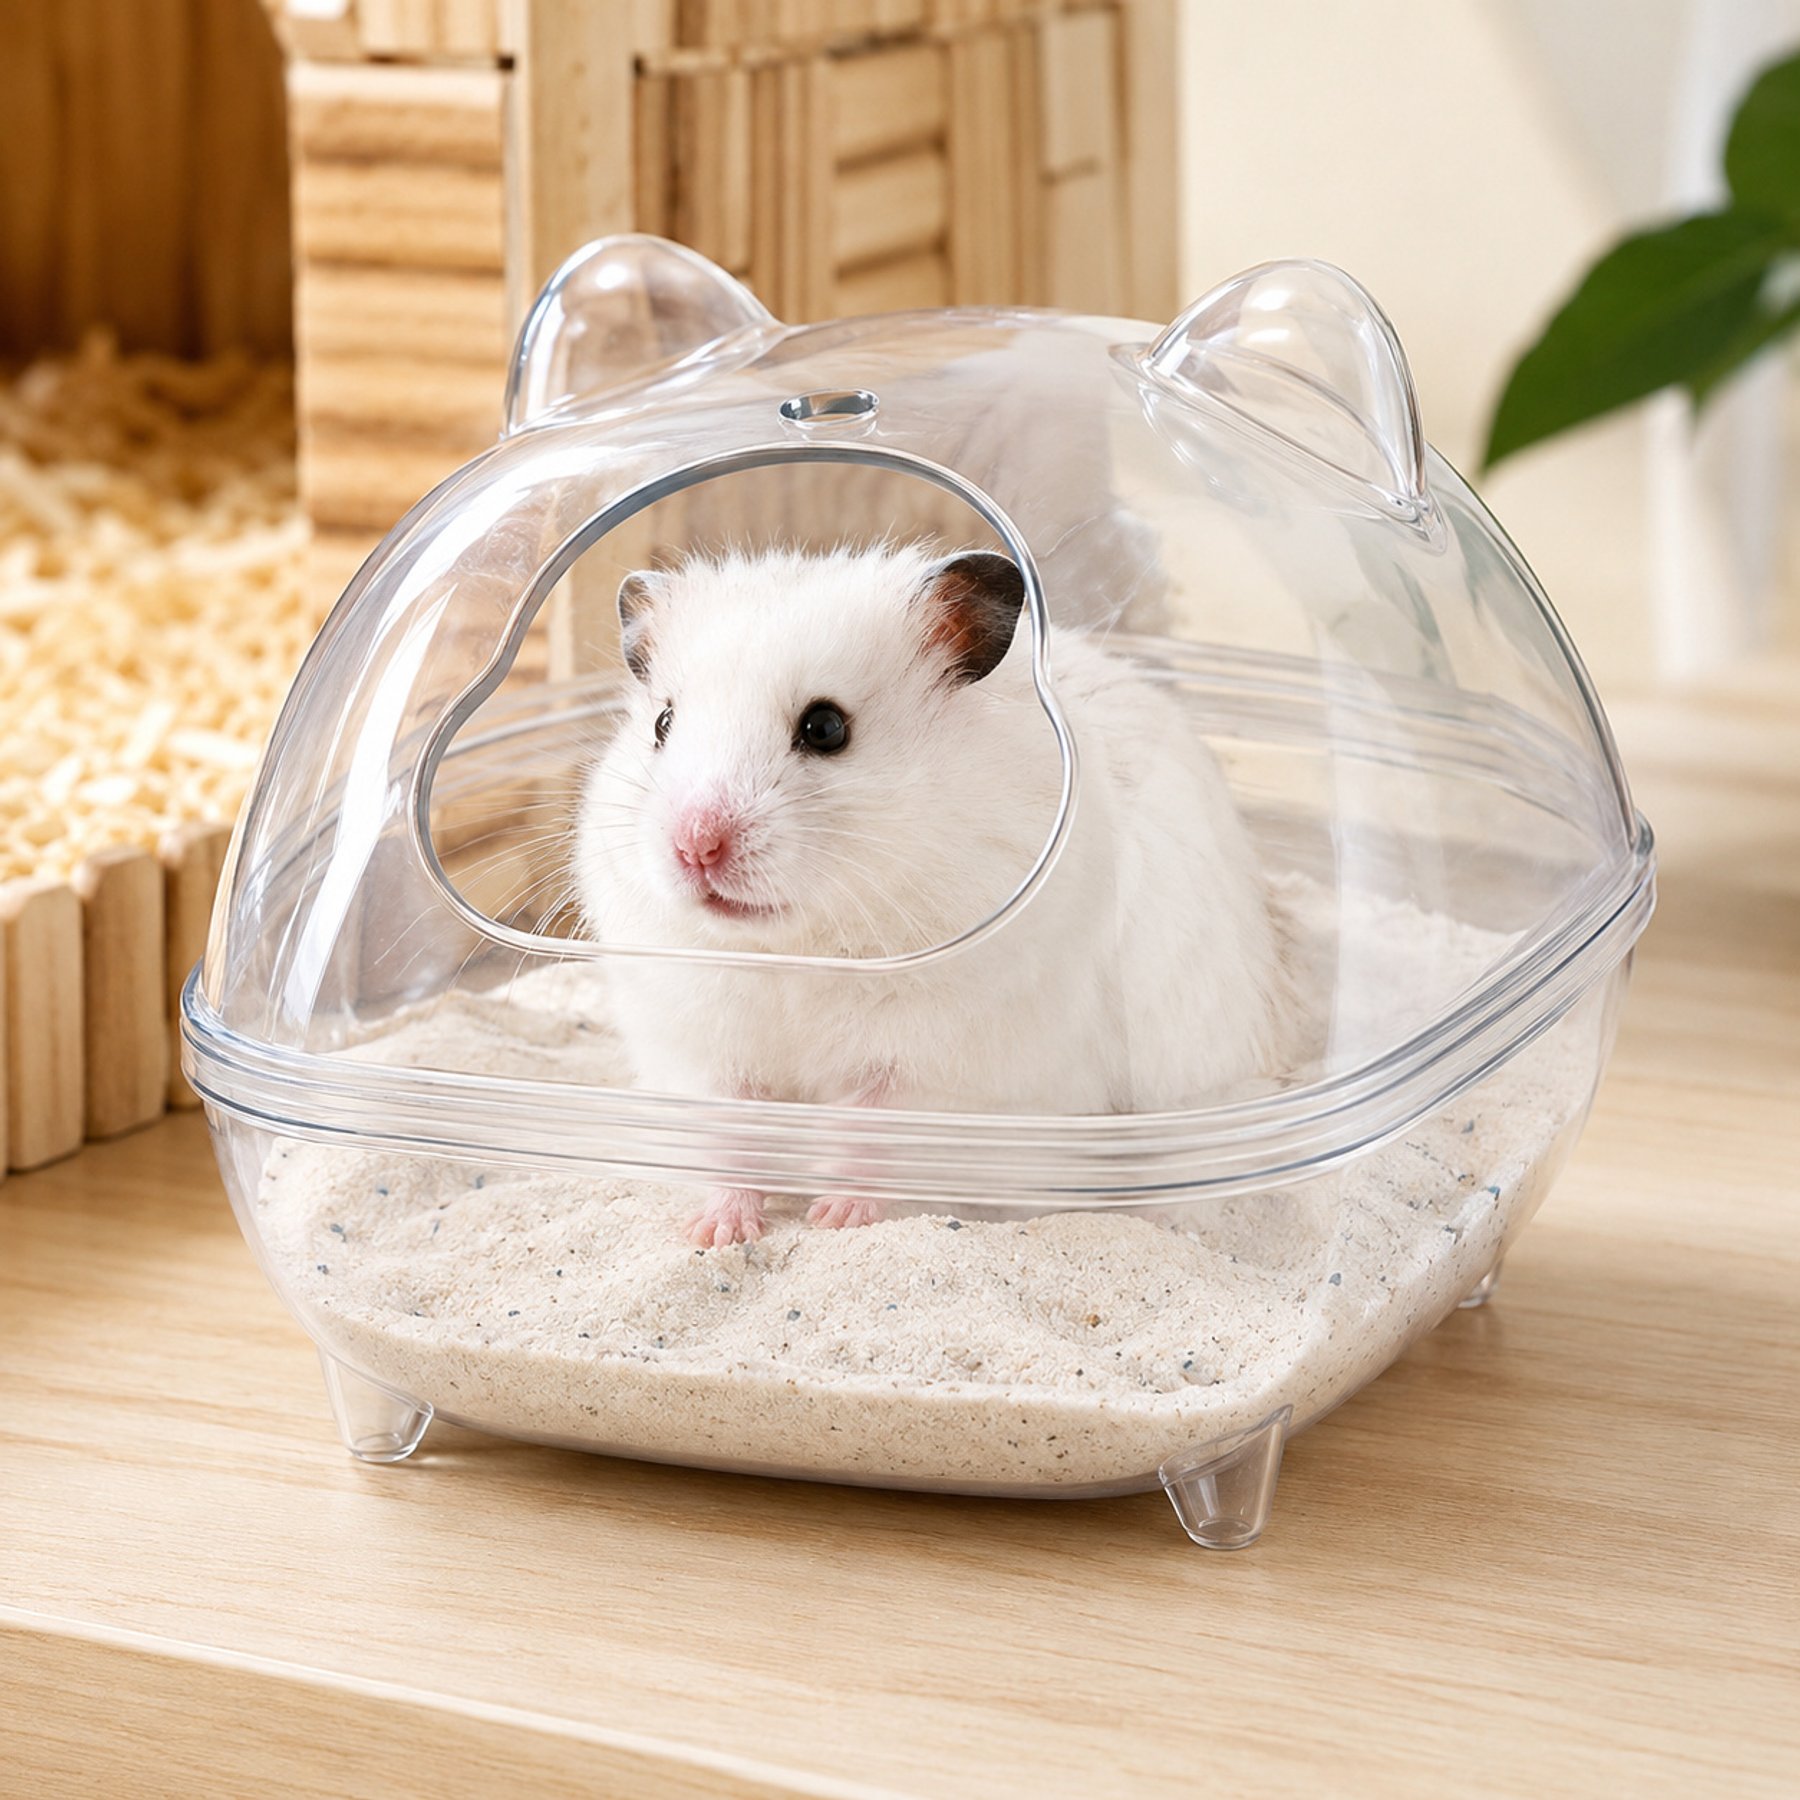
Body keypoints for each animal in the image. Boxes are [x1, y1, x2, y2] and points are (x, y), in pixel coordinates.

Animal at [574, 543, 1285, 1246]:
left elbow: (874, 1132)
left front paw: (835, 1219)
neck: (799, 948)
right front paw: (714, 1232)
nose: (695, 846)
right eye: (663, 723)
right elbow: (730, 1136)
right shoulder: (703, 1048)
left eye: (826, 727)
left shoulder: (939, 1065)